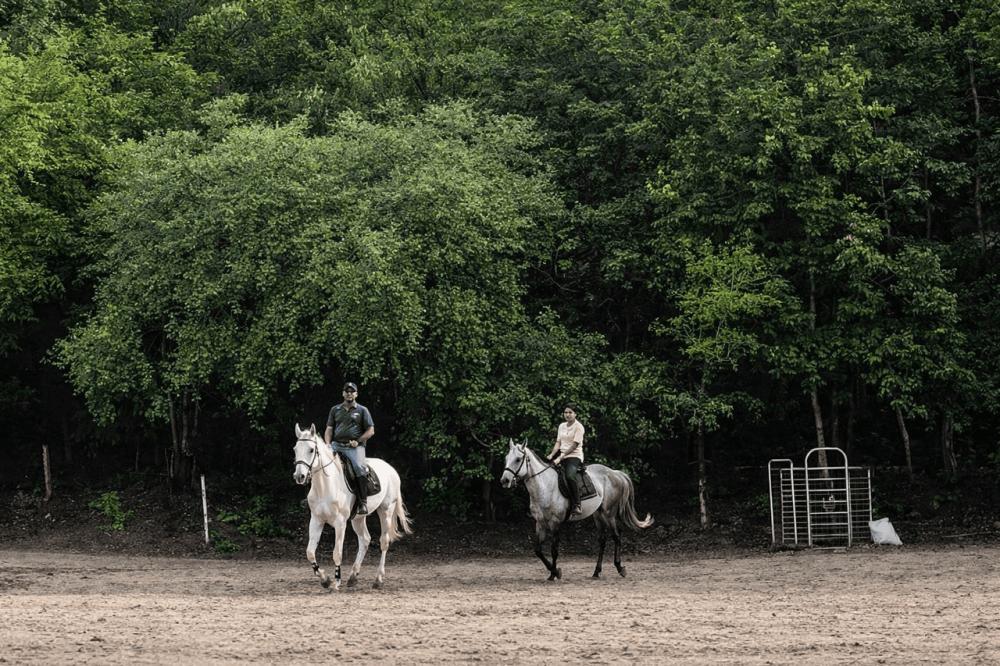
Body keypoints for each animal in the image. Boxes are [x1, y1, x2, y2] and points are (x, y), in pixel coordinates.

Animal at [292, 423, 413, 589]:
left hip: (386, 511)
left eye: (311, 450)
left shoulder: (340, 523)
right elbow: (310, 552)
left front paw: (336, 581)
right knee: (365, 539)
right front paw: (325, 579)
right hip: (358, 518)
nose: (299, 476)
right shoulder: (316, 520)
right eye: (295, 449)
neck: (326, 486)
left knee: (384, 542)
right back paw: (353, 576)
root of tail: (390, 468)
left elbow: (337, 553)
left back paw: (378, 579)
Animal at [499, 438, 653, 580]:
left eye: (518, 459)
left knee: (616, 537)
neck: (544, 486)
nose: (504, 480)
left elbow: (554, 550)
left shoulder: (555, 523)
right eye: (506, 458)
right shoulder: (540, 523)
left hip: (608, 514)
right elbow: (538, 550)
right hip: (598, 515)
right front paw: (553, 572)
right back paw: (596, 572)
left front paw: (555, 573)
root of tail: (615, 473)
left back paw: (620, 568)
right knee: (602, 541)